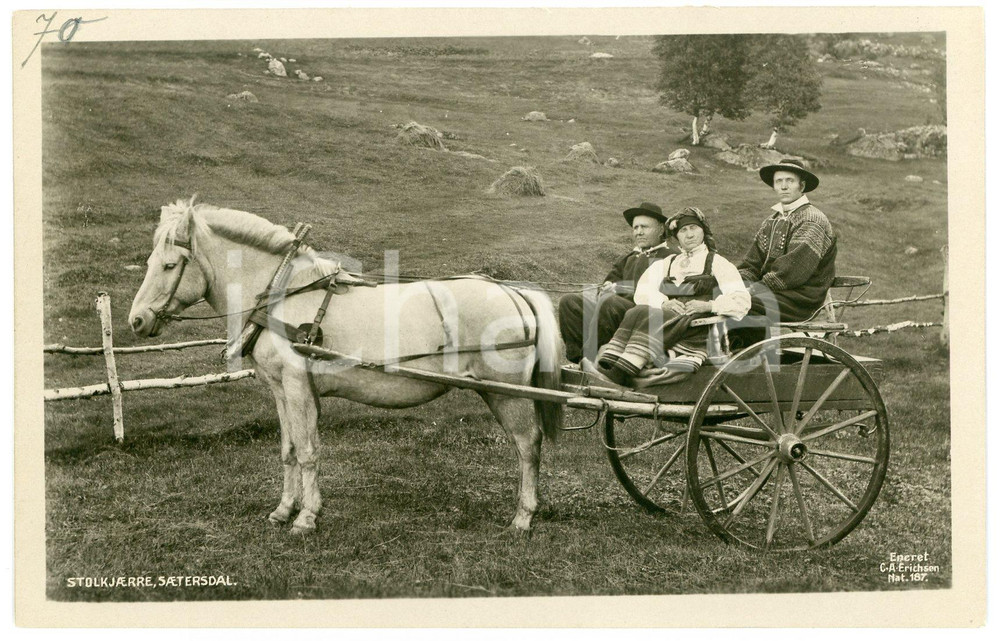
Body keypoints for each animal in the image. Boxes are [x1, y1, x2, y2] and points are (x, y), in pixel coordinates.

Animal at [128, 199, 564, 535]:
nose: (136, 321)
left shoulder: (298, 387)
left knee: (528, 445)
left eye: (170, 265)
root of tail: (513, 292)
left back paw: (523, 517)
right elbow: (288, 450)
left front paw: (306, 517)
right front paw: (283, 509)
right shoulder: (280, 390)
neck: (283, 293)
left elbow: (308, 452)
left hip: (506, 393)